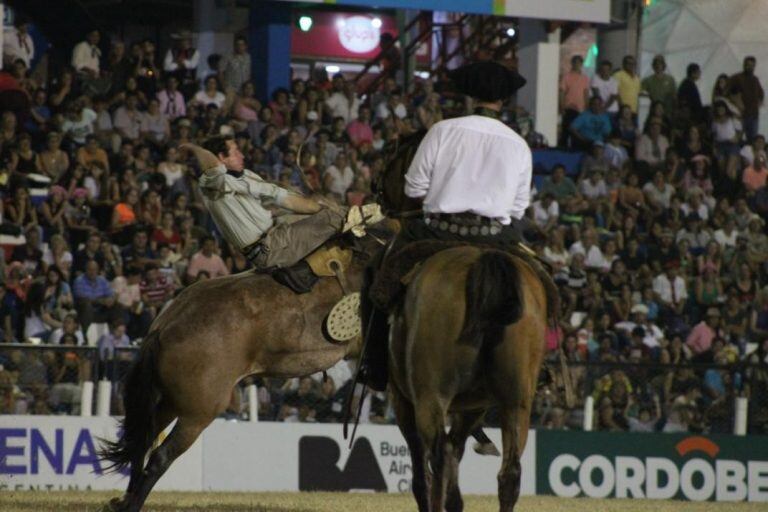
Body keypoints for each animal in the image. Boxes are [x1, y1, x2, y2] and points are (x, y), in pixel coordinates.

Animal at [99, 238, 378, 510]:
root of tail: (165, 326)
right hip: (197, 412)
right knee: (160, 456)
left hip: (171, 402)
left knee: (142, 443)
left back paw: (124, 500)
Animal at [390, 246, 544, 510]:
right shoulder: (473, 407)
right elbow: (456, 448)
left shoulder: (403, 401)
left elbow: (425, 471)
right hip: (516, 401)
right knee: (509, 472)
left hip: (431, 395)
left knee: (439, 457)